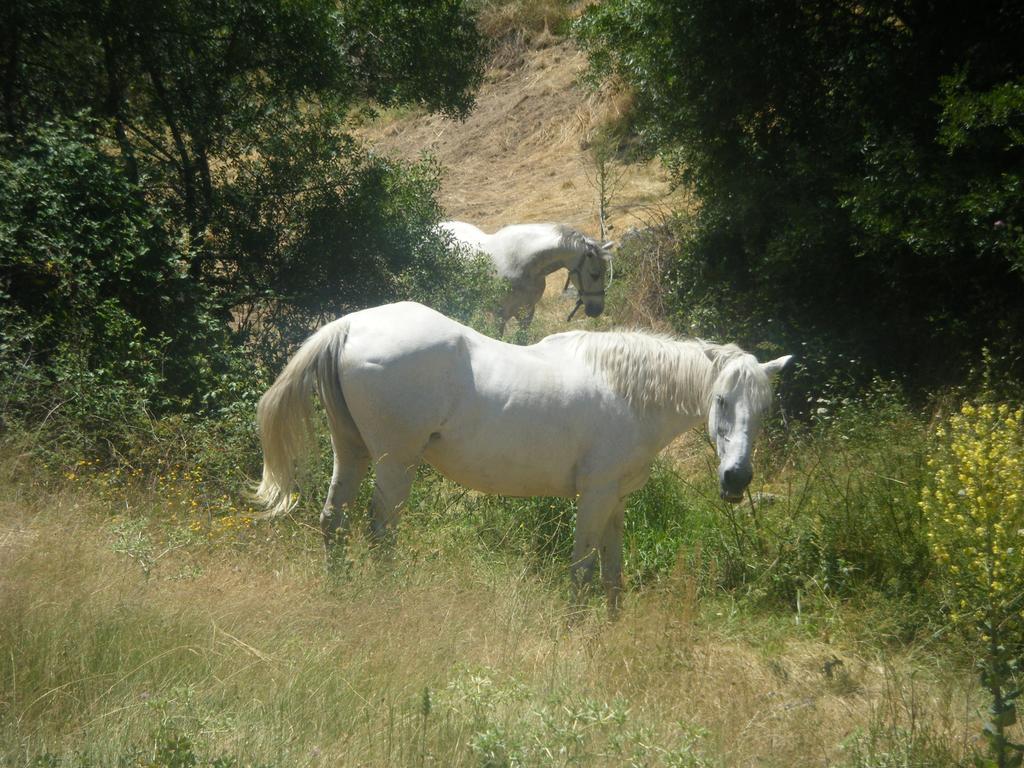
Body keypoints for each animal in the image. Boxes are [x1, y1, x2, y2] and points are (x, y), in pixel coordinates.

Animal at [256, 301, 790, 614]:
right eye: (720, 399)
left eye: (764, 407)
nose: (737, 479)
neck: (627, 391)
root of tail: (350, 325)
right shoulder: (594, 496)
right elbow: (582, 568)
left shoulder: (615, 500)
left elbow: (612, 572)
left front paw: (613, 628)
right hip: (394, 463)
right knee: (380, 531)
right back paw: (387, 602)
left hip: (352, 452)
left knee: (334, 520)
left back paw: (340, 594)